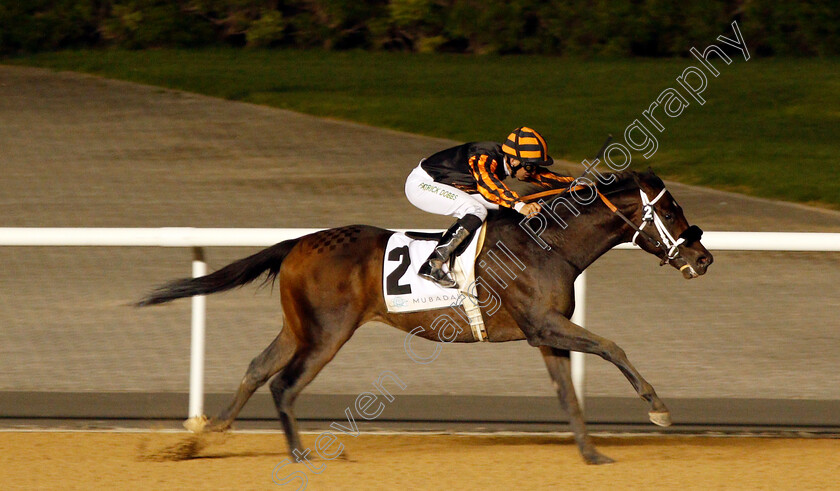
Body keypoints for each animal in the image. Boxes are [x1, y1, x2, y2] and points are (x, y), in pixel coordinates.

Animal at [139, 170, 716, 466]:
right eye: (670, 211)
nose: (703, 258)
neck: (547, 244)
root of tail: (299, 243)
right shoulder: (545, 324)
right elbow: (613, 346)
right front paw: (658, 409)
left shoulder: (544, 334)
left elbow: (568, 394)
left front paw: (591, 454)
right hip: (328, 332)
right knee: (284, 383)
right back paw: (300, 454)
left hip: (299, 326)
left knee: (258, 368)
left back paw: (203, 437)